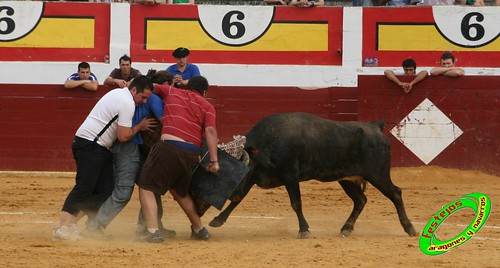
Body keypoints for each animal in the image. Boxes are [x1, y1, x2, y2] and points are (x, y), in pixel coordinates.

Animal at [193, 112, 416, 238]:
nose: (200, 206)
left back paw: (409, 228)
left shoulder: (290, 176)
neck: (267, 143)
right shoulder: (254, 177)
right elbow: (238, 200)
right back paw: (346, 228)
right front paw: (218, 220)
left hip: (378, 174)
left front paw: (304, 229)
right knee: (361, 200)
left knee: (396, 193)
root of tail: (375, 126)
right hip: (348, 179)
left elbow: (296, 203)